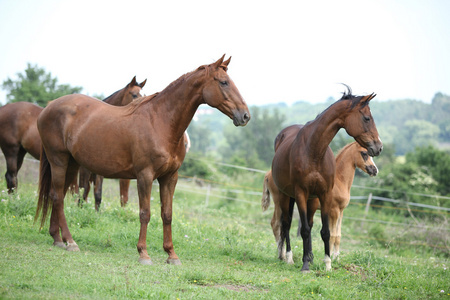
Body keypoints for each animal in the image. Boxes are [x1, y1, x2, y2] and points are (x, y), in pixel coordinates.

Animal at [268, 86, 382, 272]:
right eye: (367, 118)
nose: (379, 147)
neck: (314, 151)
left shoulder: (324, 195)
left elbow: (326, 232)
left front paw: (327, 263)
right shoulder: (301, 193)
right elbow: (305, 230)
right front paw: (305, 265)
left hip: (311, 201)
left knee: (306, 223)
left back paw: (308, 257)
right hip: (285, 196)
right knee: (286, 224)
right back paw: (288, 257)